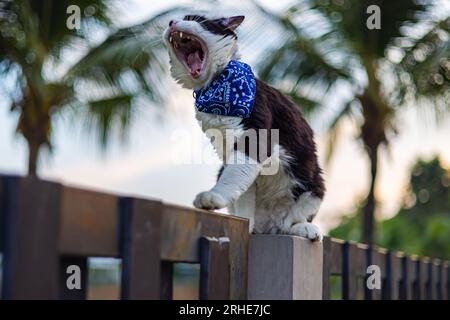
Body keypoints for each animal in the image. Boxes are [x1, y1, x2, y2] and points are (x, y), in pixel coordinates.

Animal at [163, 14, 326, 240]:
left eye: (194, 19)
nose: (172, 22)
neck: (218, 87)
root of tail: (269, 227)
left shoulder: (253, 139)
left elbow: (233, 177)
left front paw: (212, 197)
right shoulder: (228, 149)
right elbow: (242, 195)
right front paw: (245, 224)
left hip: (314, 185)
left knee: (291, 221)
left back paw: (304, 228)